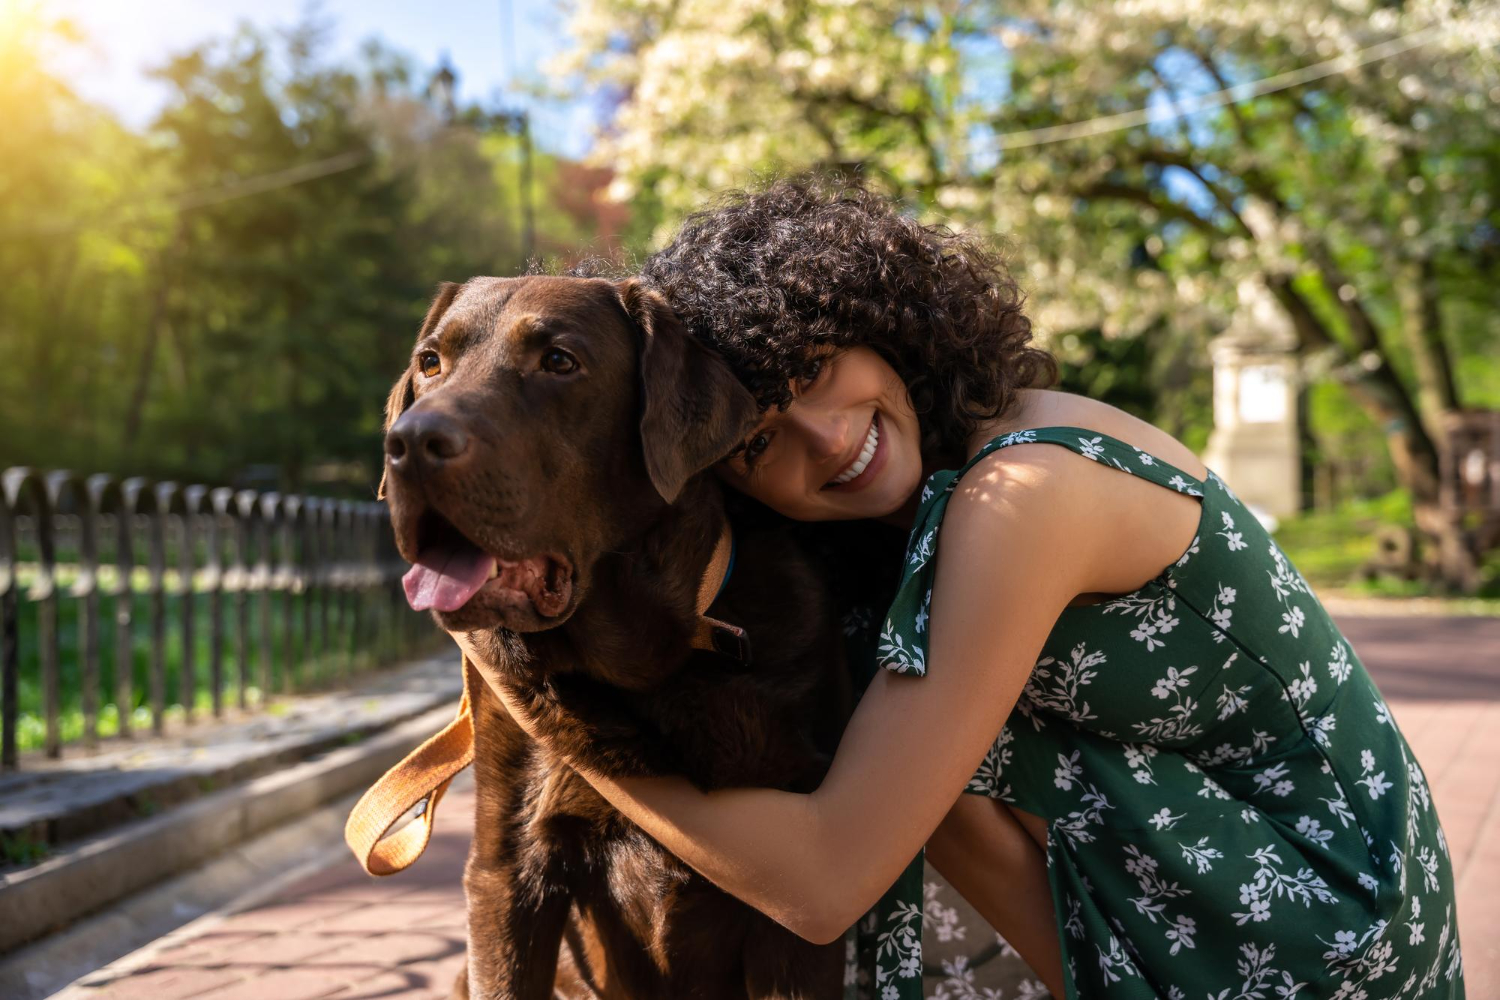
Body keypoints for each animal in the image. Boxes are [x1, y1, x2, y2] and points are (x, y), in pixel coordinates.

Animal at [381, 275, 852, 1000]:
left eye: (559, 361)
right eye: (430, 362)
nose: (407, 443)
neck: (642, 676)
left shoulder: (800, 904)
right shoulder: (505, 871)